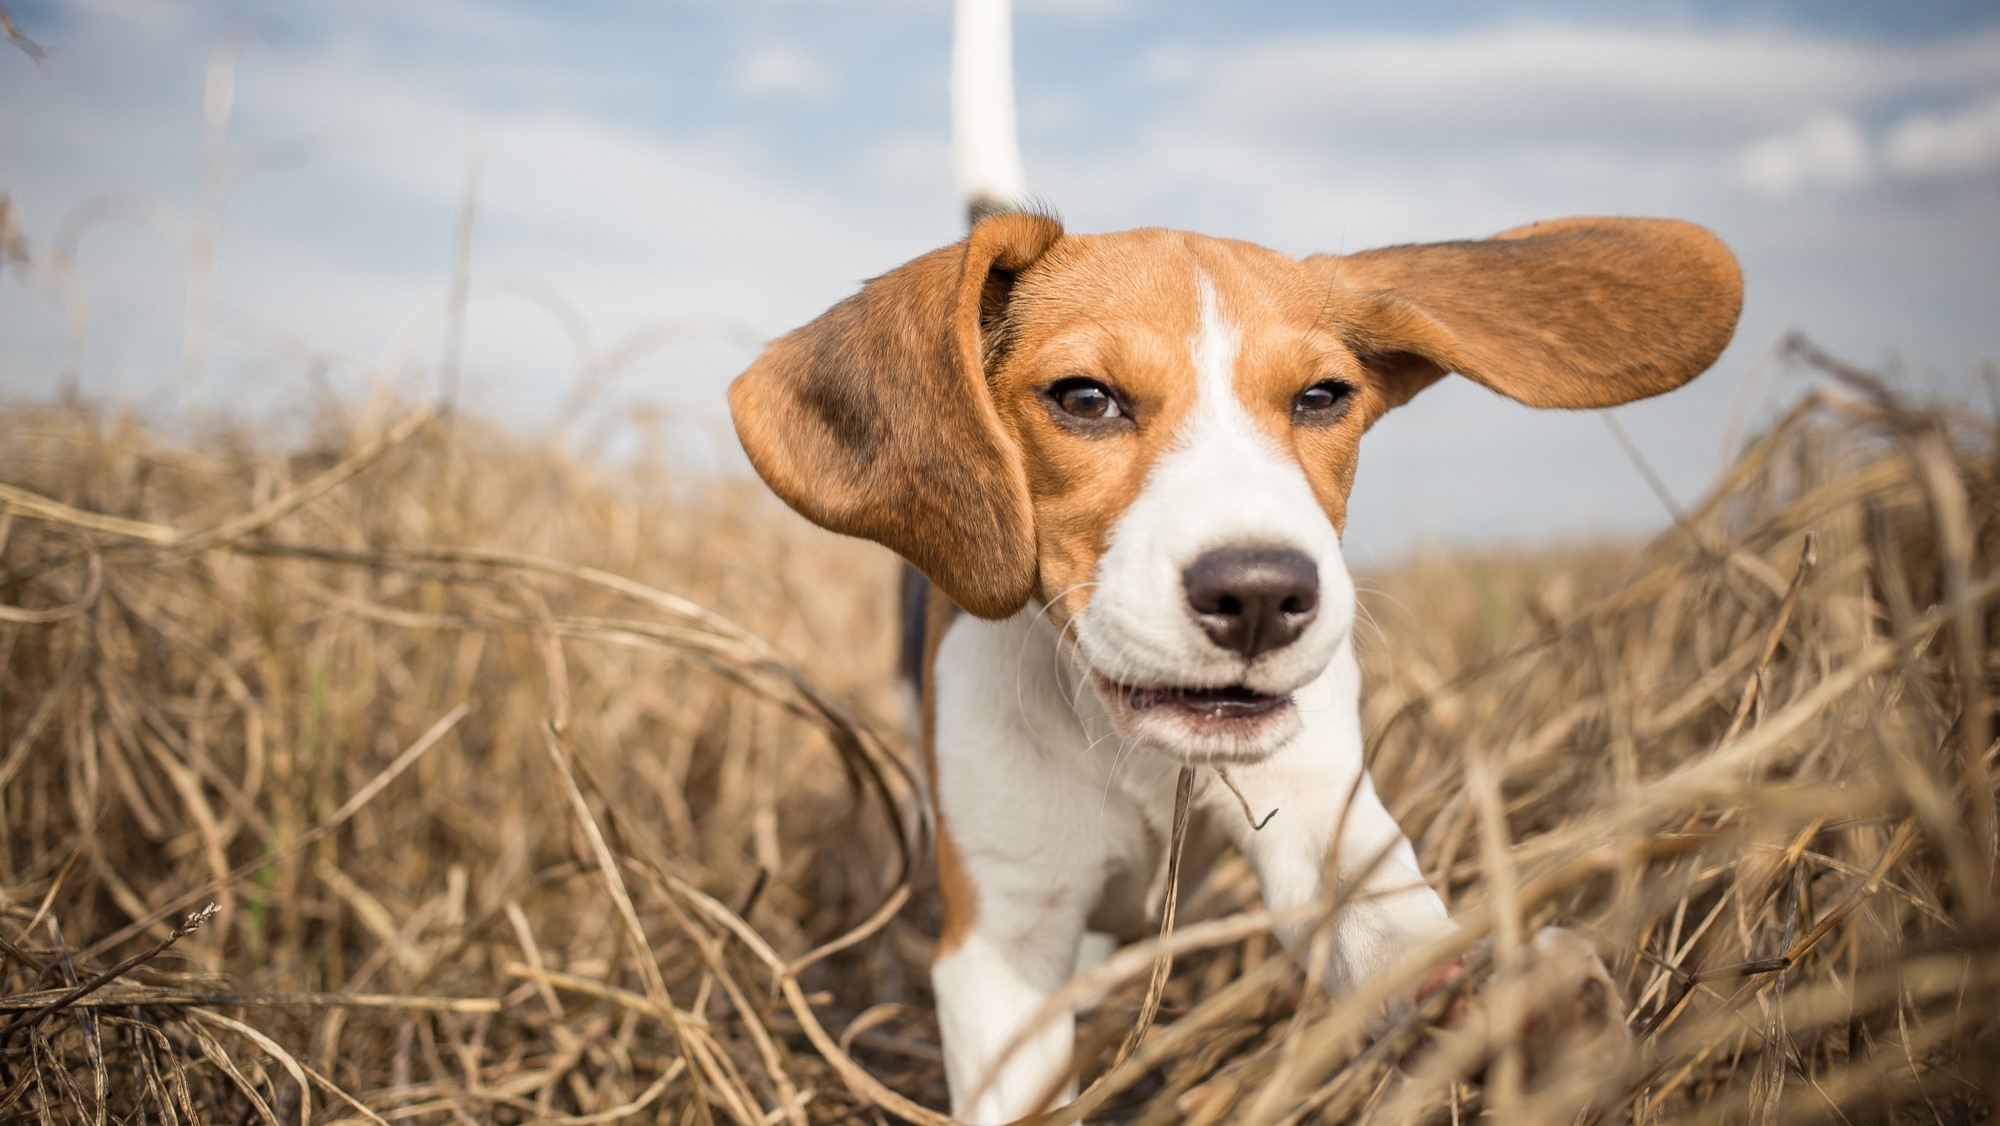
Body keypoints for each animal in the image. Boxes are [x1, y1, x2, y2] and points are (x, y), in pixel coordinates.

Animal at [728, 11, 1744, 1126]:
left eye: (1322, 397)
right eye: (1083, 399)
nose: (1260, 595)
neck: (1130, 745)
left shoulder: (1316, 815)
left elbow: (1391, 935)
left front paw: (1512, 1006)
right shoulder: (1001, 943)